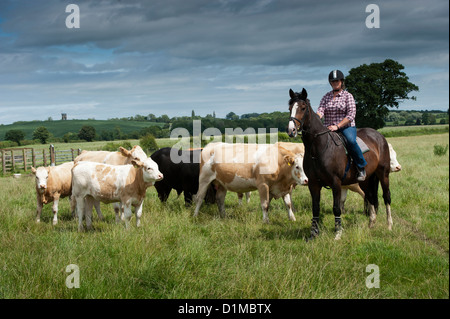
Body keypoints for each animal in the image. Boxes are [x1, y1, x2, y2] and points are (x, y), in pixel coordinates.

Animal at [286, 87, 392, 240]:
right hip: (366, 180)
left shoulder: (335, 183)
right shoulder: (313, 184)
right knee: (370, 197)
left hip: (383, 174)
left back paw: (389, 225)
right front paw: (313, 234)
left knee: (386, 196)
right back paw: (371, 224)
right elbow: (315, 208)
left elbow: (336, 208)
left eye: (303, 107)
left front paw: (338, 233)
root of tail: (378, 136)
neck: (318, 147)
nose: (291, 130)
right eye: (290, 108)